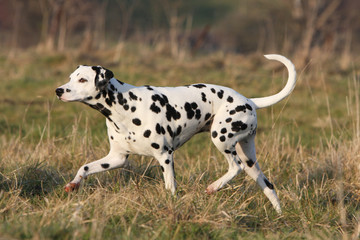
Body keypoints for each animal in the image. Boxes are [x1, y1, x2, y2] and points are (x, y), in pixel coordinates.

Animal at [55, 54, 296, 214]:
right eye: (71, 77)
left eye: (83, 80)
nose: (58, 90)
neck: (126, 105)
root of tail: (249, 101)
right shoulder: (116, 158)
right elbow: (85, 167)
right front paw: (73, 184)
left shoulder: (165, 156)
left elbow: (170, 187)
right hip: (250, 160)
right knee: (268, 186)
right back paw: (279, 215)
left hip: (221, 139)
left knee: (234, 167)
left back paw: (213, 187)